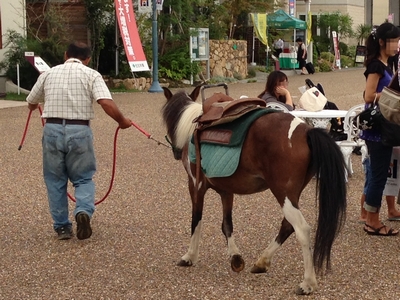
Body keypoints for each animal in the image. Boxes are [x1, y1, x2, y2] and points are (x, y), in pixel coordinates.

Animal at [161, 85, 346, 294]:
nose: (176, 153)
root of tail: (306, 131)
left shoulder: (195, 185)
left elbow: (196, 221)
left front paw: (190, 256)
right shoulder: (226, 190)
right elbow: (227, 224)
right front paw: (235, 257)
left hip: (283, 193)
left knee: (302, 229)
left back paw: (307, 283)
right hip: (291, 195)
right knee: (287, 226)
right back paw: (262, 262)